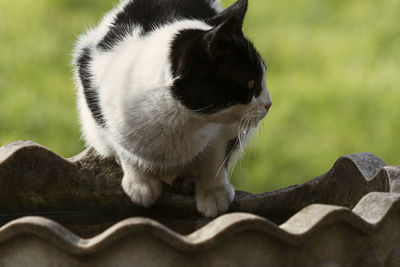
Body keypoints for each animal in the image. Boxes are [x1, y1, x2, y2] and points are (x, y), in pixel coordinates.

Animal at [72, 0, 272, 219]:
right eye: (251, 84)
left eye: (262, 79)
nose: (268, 104)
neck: (182, 119)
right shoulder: (95, 92)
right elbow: (124, 148)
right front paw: (140, 182)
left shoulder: (228, 130)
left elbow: (216, 156)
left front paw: (212, 191)